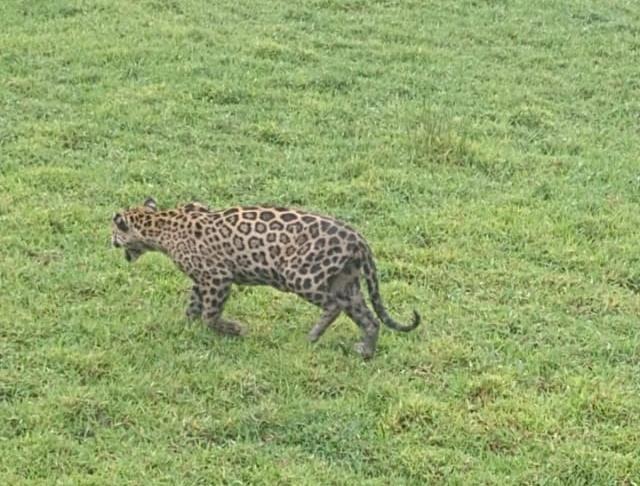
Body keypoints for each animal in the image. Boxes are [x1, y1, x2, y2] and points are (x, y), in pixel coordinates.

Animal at [111, 197, 420, 358]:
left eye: (113, 231)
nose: (108, 241)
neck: (160, 225)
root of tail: (358, 239)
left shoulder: (218, 277)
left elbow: (210, 314)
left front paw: (235, 330)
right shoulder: (202, 279)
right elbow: (193, 306)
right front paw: (185, 328)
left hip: (302, 276)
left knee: (334, 305)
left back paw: (312, 337)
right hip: (347, 280)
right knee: (367, 317)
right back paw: (365, 350)